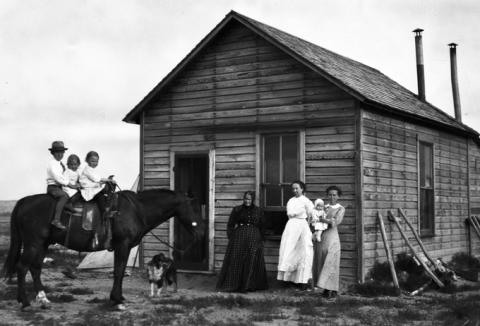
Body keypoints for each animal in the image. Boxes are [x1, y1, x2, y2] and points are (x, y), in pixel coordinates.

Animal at [0, 188, 202, 308]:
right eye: (193, 208)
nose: (200, 233)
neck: (136, 209)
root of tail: (23, 202)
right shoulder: (123, 245)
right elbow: (119, 271)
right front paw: (117, 299)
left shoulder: (123, 247)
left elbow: (119, 270)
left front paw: (117, 297)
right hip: (33, 244)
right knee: (22, 268)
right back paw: (25, 302)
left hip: (42, 244)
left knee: (35, 269)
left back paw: (43, 298)